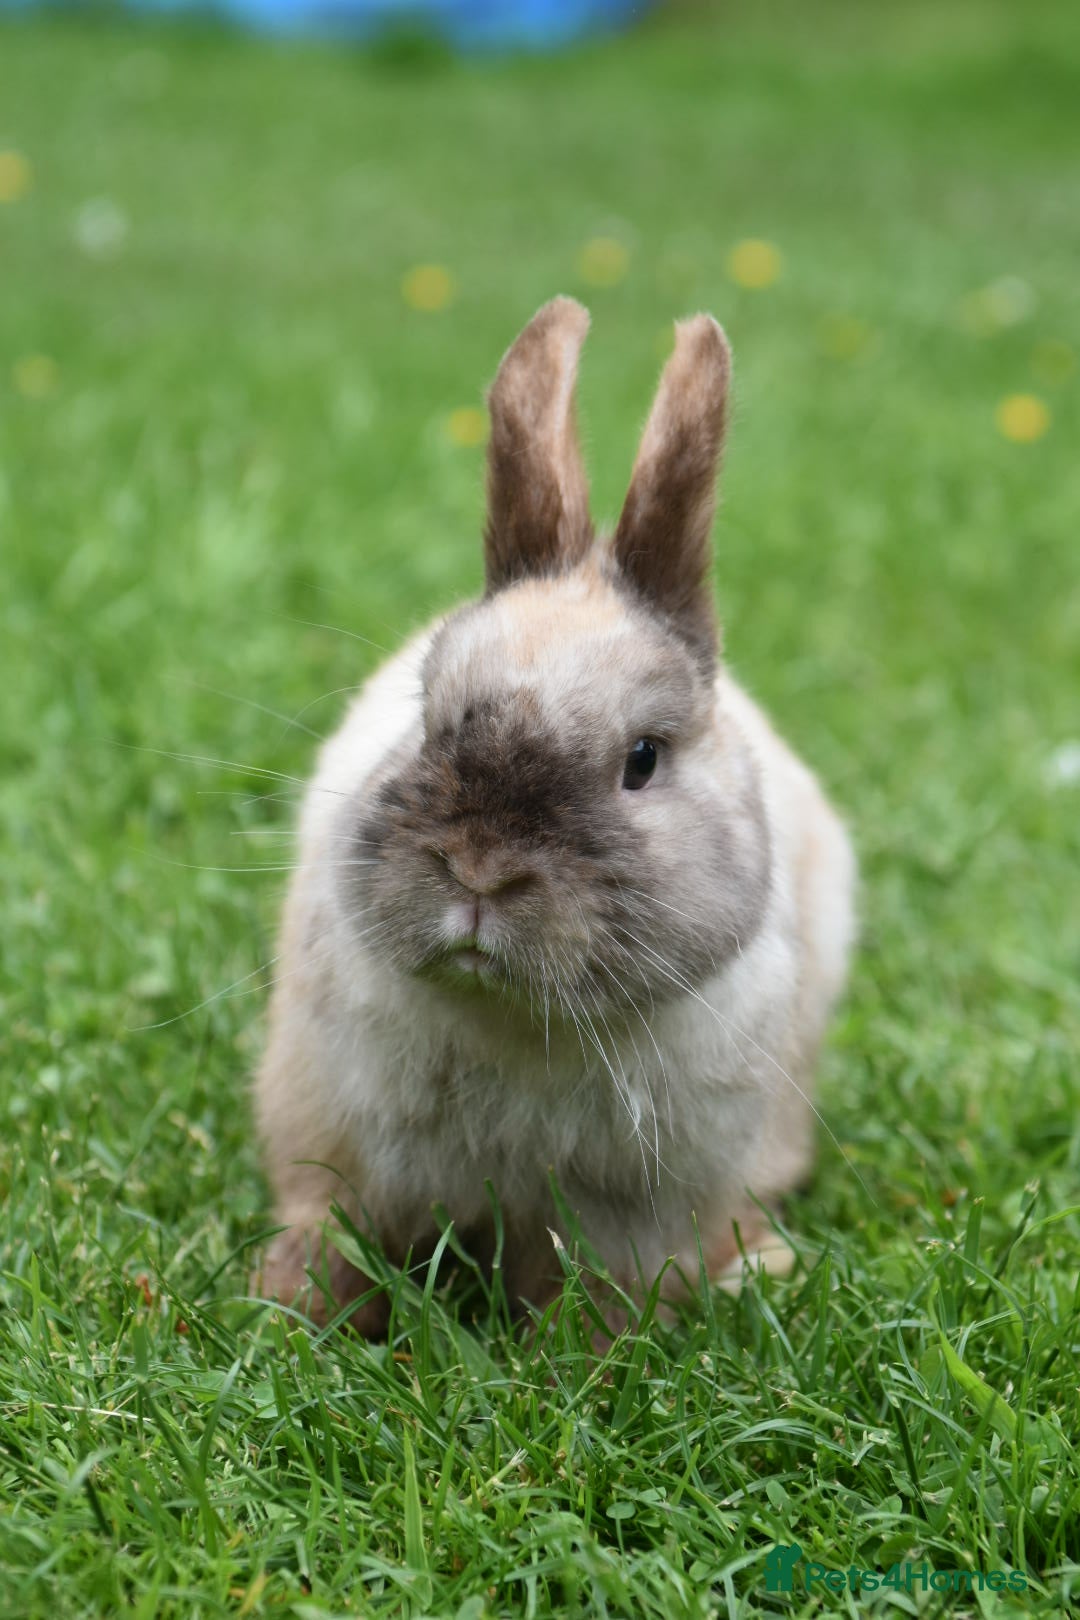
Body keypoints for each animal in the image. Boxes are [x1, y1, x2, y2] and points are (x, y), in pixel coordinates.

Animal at [253, 297, 856, 1332]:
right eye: (428, 715)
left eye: (642, 760)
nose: (480, 871)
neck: (516, 1024)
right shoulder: (338, 1152)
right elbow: (330, 1236)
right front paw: (287, 1315)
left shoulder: (634, 1219)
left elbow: (603, 1303)